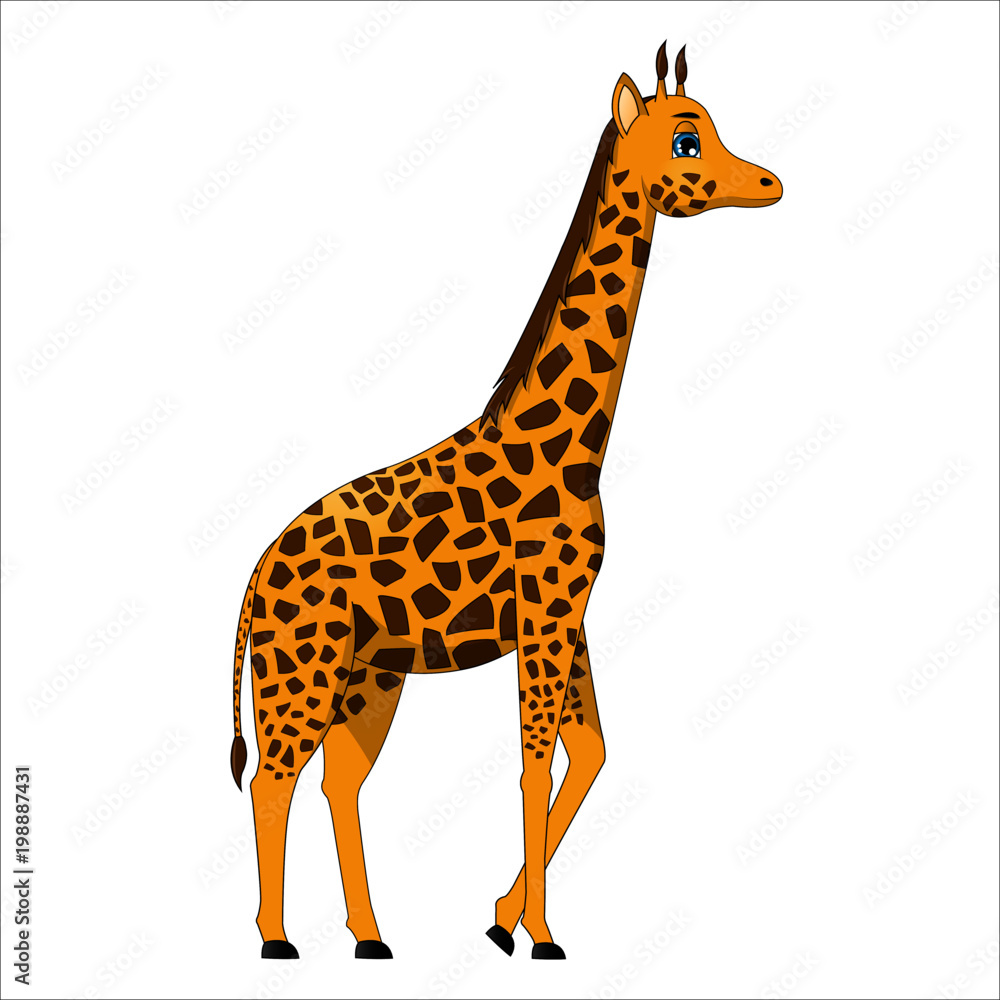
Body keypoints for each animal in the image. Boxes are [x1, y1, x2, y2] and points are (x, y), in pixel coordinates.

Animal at [229, 41, 782, 961]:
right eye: (687, 141)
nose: (770, 182)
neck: (574, 452)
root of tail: (253, 578)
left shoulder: (569, 613)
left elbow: (587, 755)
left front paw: (500, 917)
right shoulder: (546, 611)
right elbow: (534, 763)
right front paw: (542, 935)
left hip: (369, 676)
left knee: (338, 783)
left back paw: (371, 937)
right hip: (300, 670)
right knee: (274, 781)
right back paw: (276, 941)